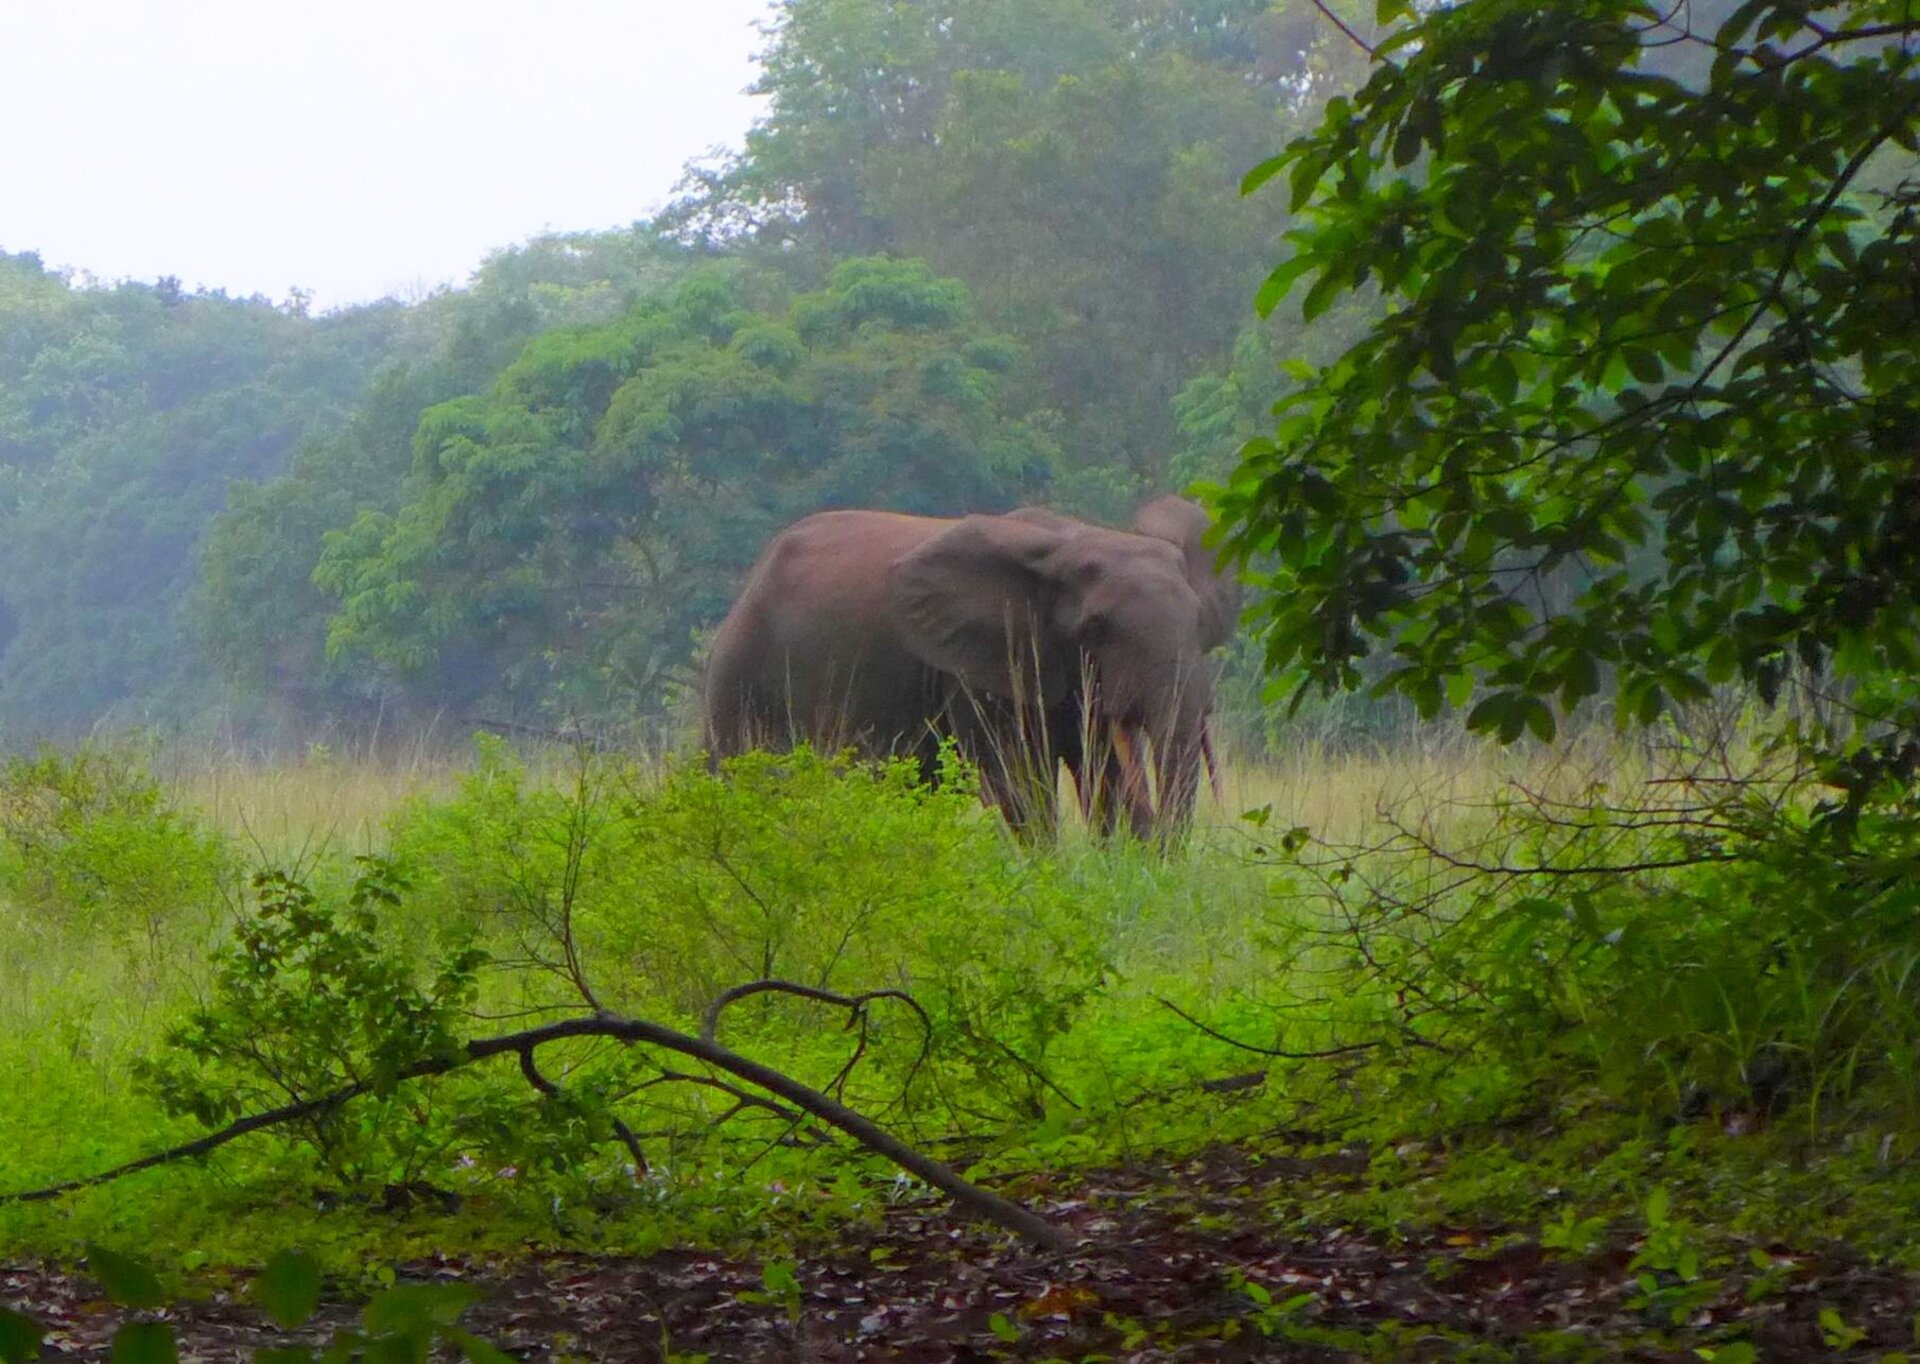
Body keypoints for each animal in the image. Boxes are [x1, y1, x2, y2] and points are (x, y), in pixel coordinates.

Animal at [706, 495, 1244, 837]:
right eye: (1094, 627)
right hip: (740, 671)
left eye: (1199, 621)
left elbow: (1102, 775)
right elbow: (1019, 777)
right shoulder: (975, 668)